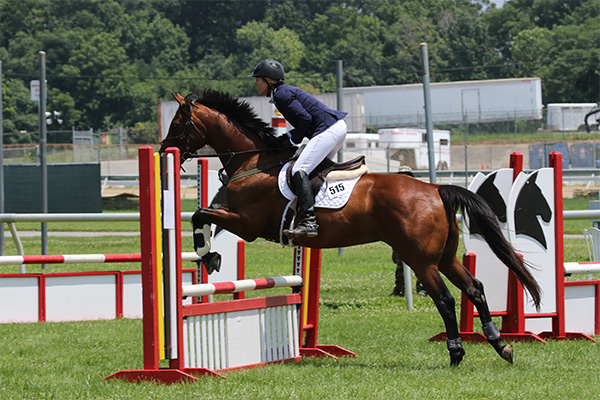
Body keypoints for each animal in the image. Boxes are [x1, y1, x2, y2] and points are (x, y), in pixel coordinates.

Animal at [161, 89, 544, 368]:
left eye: (178, 122)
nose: (165, 150)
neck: (253, 160)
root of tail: (436, 189)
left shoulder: (246, 223)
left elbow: (200, 215)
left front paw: (208, 255)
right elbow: (203, 215)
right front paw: (209, 256)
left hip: (421, 260)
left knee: (447, 300)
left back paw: (456, 353)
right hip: (446, 257)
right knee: (475, 289)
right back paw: (501, 346)